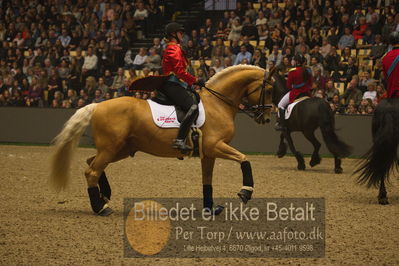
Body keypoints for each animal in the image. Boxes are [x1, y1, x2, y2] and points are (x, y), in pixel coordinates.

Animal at [50, 65, 276, 216]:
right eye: (269, 90)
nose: (266, 118)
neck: (218, 103)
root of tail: (97, 105)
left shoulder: (209, 154)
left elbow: (207, 180)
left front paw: (210, 209)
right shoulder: (216, 146)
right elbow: (244, 159)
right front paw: (246, 192)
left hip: (119, 149)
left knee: (91, 164)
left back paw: (104, 197)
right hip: (111, 148)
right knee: (92, 171)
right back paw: (100, 208)